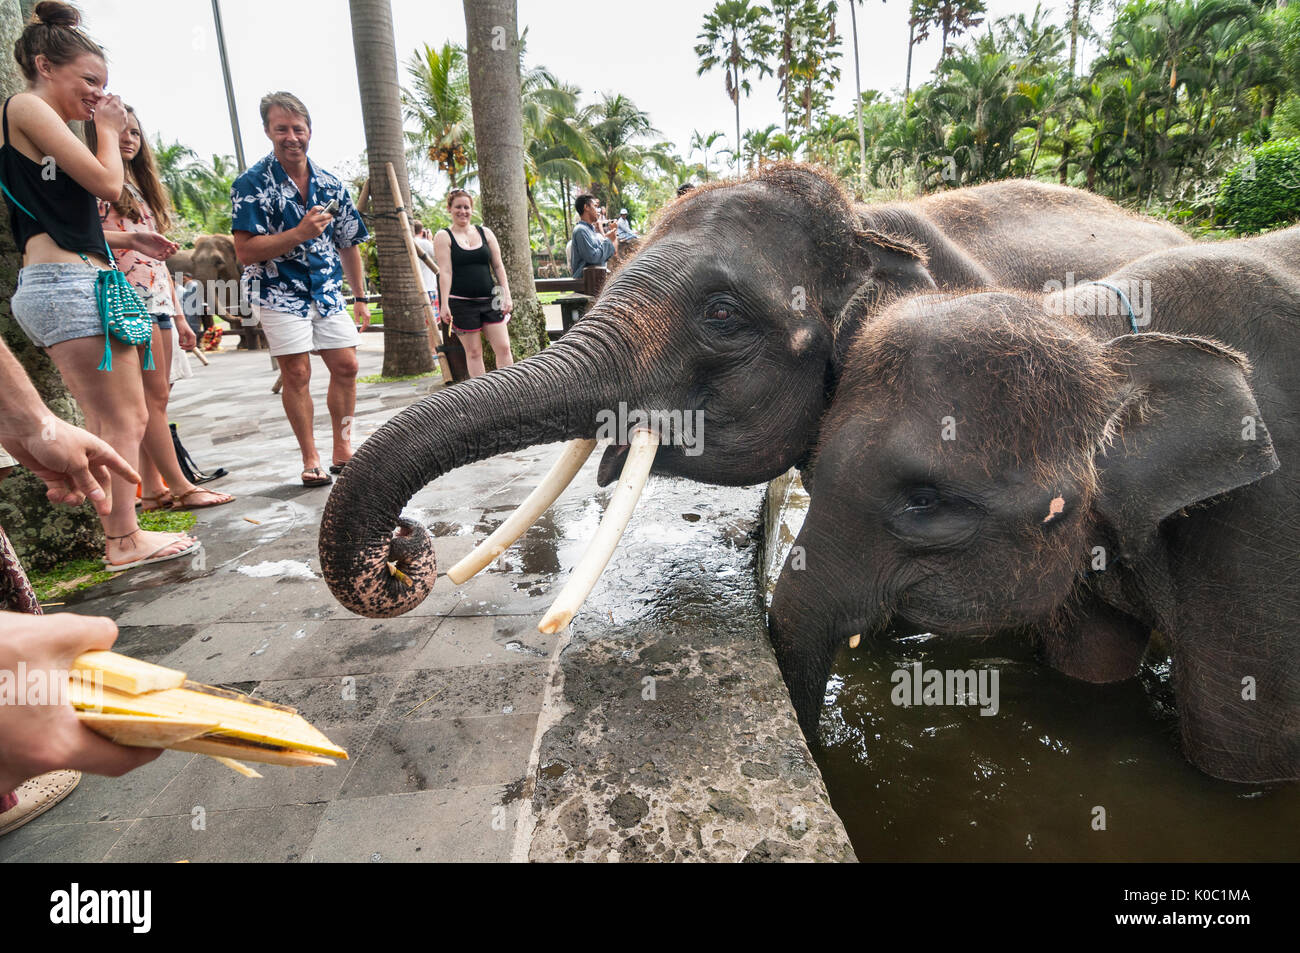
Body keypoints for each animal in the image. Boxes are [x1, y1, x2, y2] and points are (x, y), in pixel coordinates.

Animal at [764, 223, 1300, 780]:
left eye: (925, 501)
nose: (816, 755)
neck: (1091, 332)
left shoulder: (1259, 534)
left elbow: (1241, 744)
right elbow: (1092, 661)